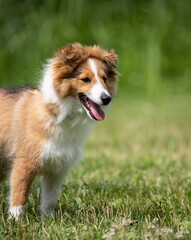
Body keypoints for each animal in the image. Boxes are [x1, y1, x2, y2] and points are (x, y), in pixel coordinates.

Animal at [0, 42, 118, 218]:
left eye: (104, 79)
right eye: (85, 79)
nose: (106, 99)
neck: (60, 115)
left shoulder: (57, 168)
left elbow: (49, 200)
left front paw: (48, 220)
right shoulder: (24, 163)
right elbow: (19, 198)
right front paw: (16, 221)